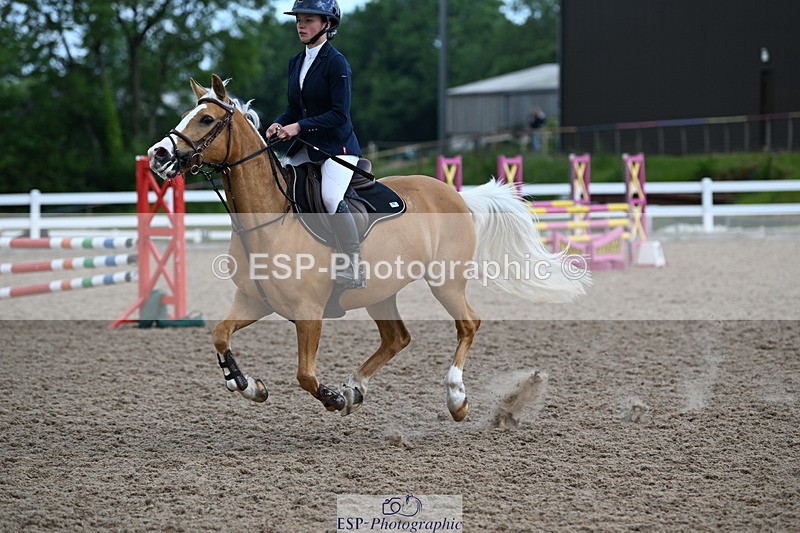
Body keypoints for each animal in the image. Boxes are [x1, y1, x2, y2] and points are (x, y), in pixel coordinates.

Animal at [147, 74, 589, 421]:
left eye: (206, 119)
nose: (158, 154)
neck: (270, 222)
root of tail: (458, 196)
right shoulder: (253, 301)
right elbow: (220, 336)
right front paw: (248, 384)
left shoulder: (309, 313)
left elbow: (305, 375)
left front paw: (330, 397)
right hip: (381, 292)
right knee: (397, 338)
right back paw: (355, 387)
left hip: (445, 281)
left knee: (468, 324)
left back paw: (455, 399)